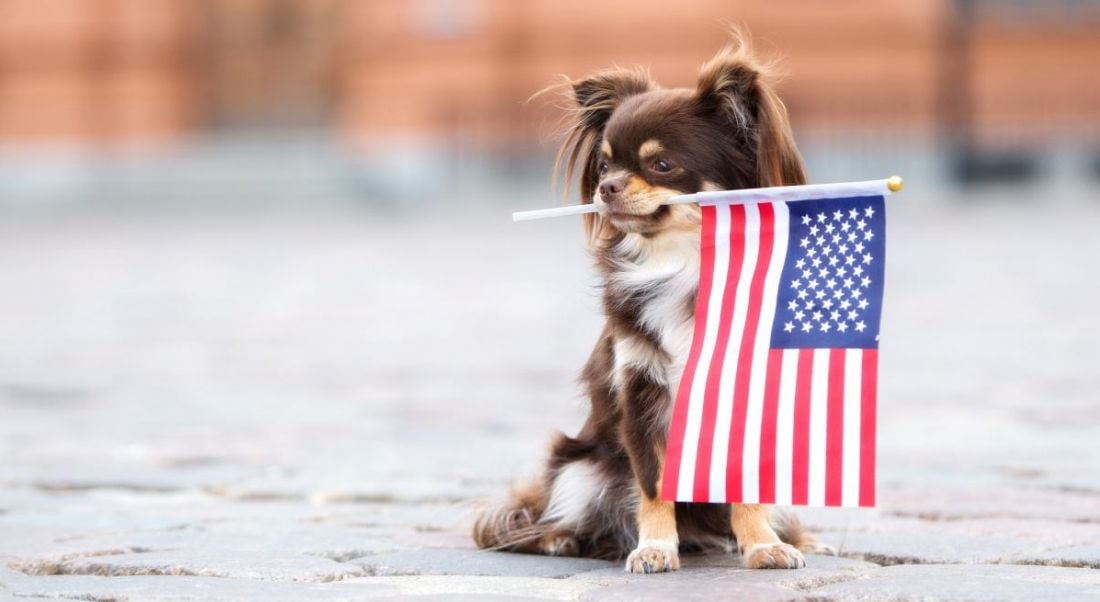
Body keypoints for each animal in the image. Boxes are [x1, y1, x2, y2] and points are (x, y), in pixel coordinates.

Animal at [473, 33, 831, 576]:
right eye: (603, 166)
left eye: (662, 165)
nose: (607, 187)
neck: (683, 262)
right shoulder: (641, 396)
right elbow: (654, 483)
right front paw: (656, 548)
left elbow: (746, 490)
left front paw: (762, 546)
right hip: (581, 468)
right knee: (556, 512)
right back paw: (561, 538)